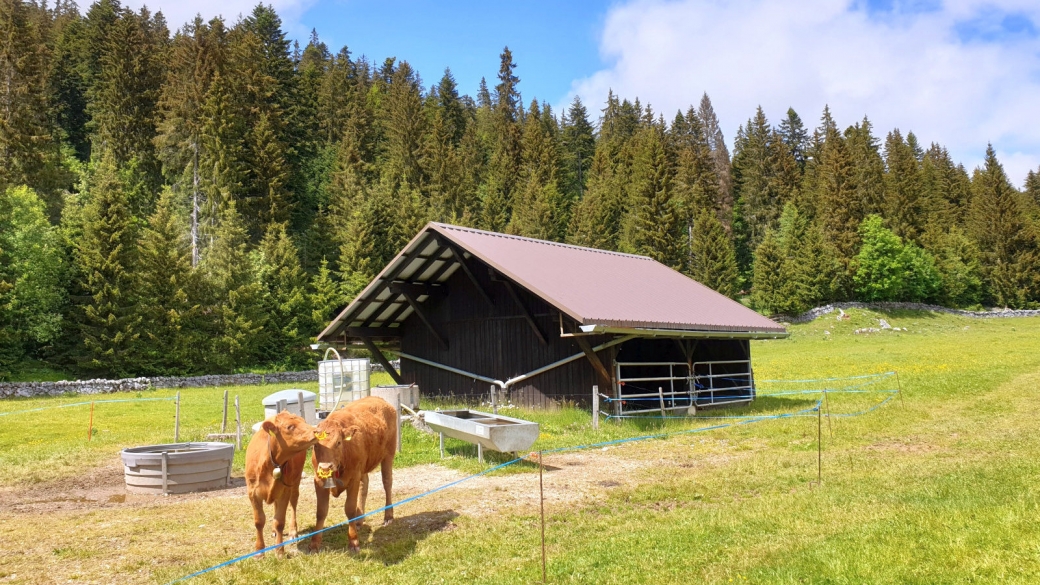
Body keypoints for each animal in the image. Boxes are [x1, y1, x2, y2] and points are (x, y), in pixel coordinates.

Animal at [243, 408, 316, 553]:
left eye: (304, 421)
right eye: (289, 426)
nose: (316, 431)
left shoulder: (285, 491)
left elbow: (280, 522)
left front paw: (280, 551)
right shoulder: (252, 492)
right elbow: (259, 521)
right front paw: (259, 551)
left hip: (295, 482)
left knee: (293, 503)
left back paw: (293, 532)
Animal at [307, 393, 397, 549]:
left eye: (338, 442)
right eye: (316, 445)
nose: (325, 467)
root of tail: (379, 399)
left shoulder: (353, 478)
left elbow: (349, 509)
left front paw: (353, 541)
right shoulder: (318, 480)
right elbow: (321, 511)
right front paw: (315, 543)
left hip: (388, 455)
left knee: (387, 483)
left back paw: (388, 516)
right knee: (364, 485)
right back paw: (359, 521)